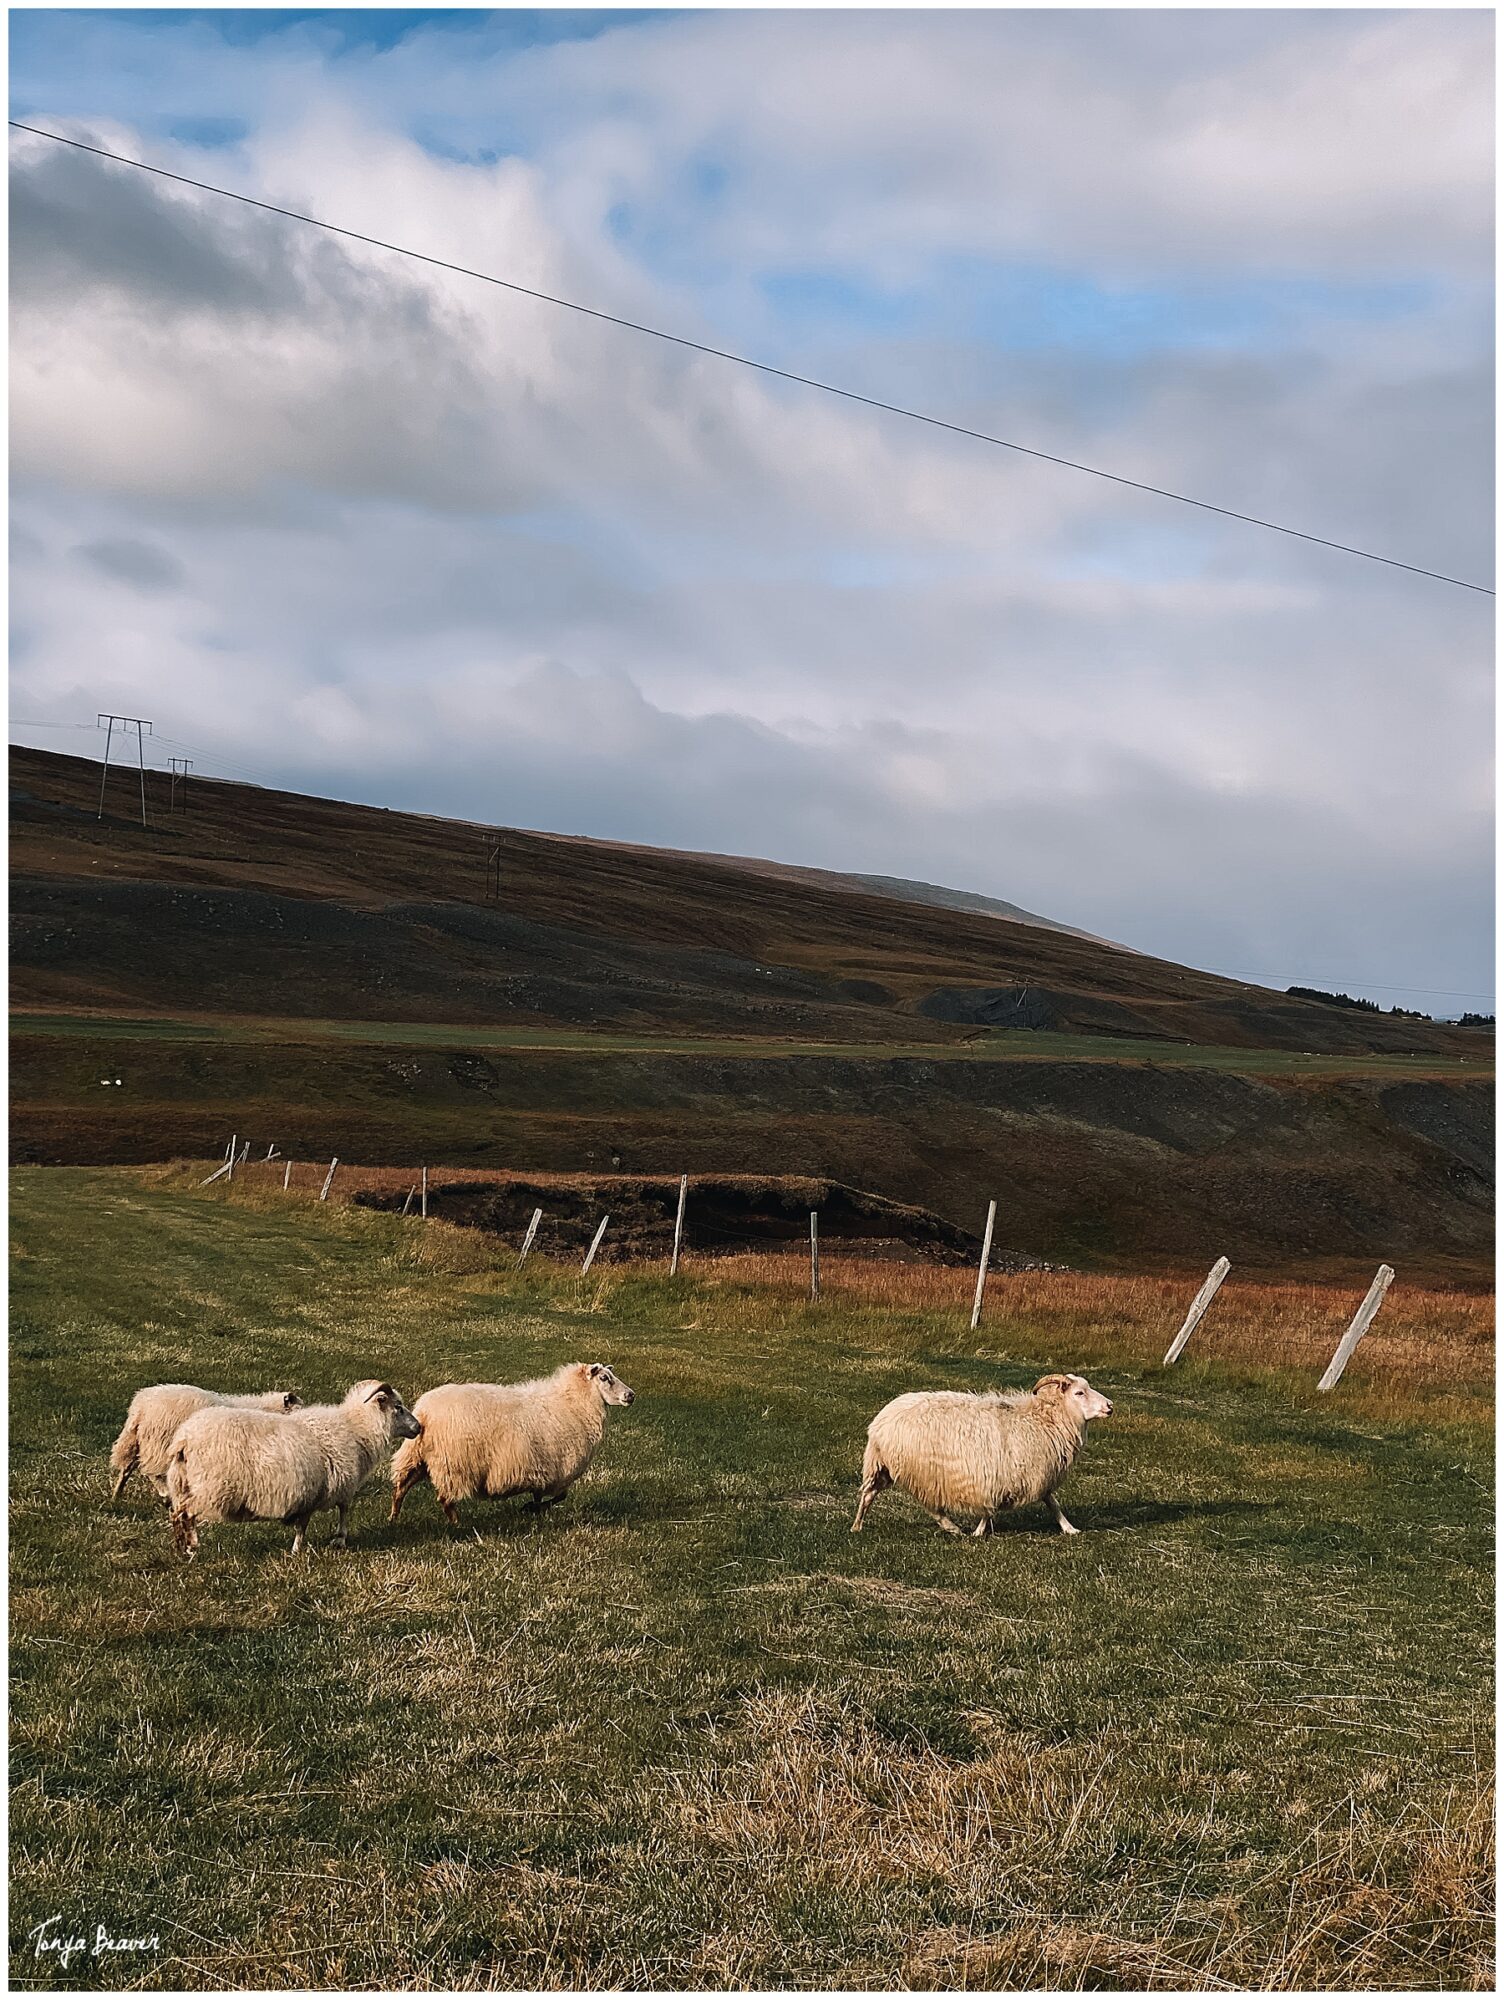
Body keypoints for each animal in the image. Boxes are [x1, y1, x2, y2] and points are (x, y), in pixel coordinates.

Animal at [109, 1384, 302, 1504]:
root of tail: (140, 1407)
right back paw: (165, 1494)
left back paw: (116, 1496)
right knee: (151, 1471)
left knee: (127, 1468)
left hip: (138, 1442)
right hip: (159, 1444)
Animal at [165, 1376, 420, 1560]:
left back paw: (181, 1548)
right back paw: (191, 1548)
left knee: (177, 1514)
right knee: (185, 1514)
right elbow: (331, 1514)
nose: (419, 1427)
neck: (356, 1429)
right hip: (209, 1487)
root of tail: (184, 1439)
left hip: (183, 1484)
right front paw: (323, 1543)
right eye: (398, 1407)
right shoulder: (324, 1488)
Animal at [390, 1360, 632, 1528]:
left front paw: (533, 1509)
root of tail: (425, 1412)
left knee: (401, 1488)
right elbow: (560, 1496)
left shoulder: (541, 1469)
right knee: (445, 1499)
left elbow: (541, 1496)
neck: (573, 1403)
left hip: (417, 1457)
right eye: (605, 1378)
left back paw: (394, 1518)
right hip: (455, 1464)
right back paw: (458, 1525)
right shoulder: (557, 1469)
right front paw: (530, 1509)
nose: (631, 1395)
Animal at [852, 1368, 1112, 1536]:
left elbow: (1052, 1501)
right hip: (918, 1469)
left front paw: (1069, 1528)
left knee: (869, 1494)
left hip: (884, 1466)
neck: (1043, 1419)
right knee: (929, 1506)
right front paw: (979, 1532)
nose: (1110, 1406)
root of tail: (881, 1419)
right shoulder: (999, 1475)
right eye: (1079, 1393)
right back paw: (953, 1528)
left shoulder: (1034, 1473)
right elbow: (989, 1507)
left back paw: (857, 1526)